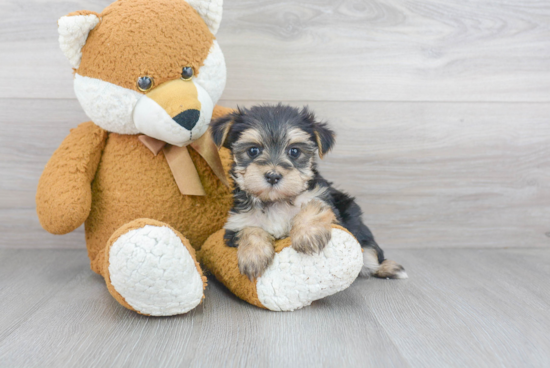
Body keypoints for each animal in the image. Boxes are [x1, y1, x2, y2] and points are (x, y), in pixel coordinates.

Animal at [211, 105, 410, 280]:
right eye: (253, 150)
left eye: (294, 151)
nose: (273, 176)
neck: (277, 201)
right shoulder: (236, 222)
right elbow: (250, 229)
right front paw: (254, 256)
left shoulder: (328, 205)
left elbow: (314, 206)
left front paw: (308, 236)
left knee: (369, 254)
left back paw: (388, 268)